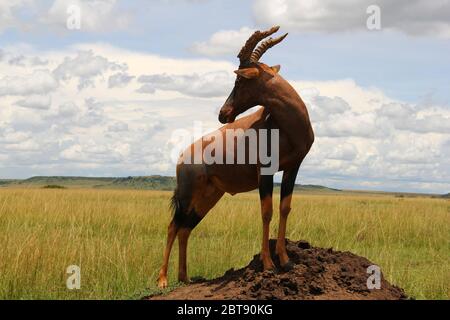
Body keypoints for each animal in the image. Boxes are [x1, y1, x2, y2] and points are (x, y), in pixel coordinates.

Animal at [157, 26, 312, 288]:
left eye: (240, 80)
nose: (223, 113)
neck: (284, 125)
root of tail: (182, 155)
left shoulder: (293, 167)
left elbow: (285, 208)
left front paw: (286, 260)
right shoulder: (265, 171)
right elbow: (267, 212)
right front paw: (268, 265)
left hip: (209, 197)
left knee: (186, 229)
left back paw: (185, 278)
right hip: (187, 193)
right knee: (172, 226)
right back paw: (163, 280)